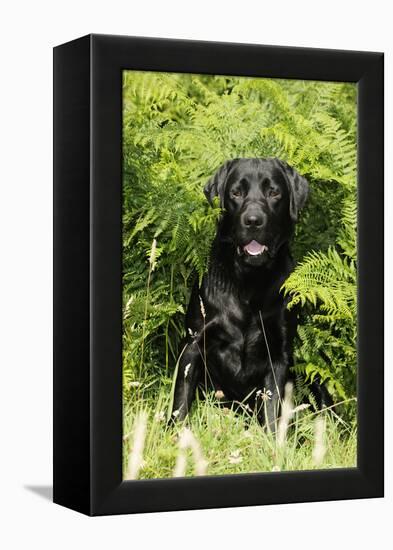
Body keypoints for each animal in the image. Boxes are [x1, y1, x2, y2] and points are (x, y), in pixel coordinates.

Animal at [172, 157, 310, 430]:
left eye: (274, 192)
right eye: (236, 192)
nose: (253, 221)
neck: (249, 281)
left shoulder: (279, 355)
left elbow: (272, 409)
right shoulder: (193, 343)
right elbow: (181, 401)